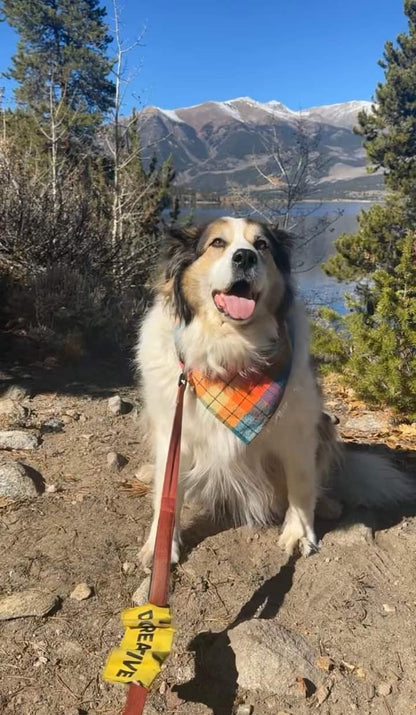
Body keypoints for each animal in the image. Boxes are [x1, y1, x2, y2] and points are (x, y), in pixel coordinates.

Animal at [137, 215, 412, 568]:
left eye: (262, 245)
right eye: (217, 243)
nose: (245, 257)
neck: (233, 354)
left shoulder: (299, 431)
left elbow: (302, 486)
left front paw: (299, 533)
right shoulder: (174, 433)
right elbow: (167, 494)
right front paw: (160, 545)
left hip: (323, 426)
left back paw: (327, 504)